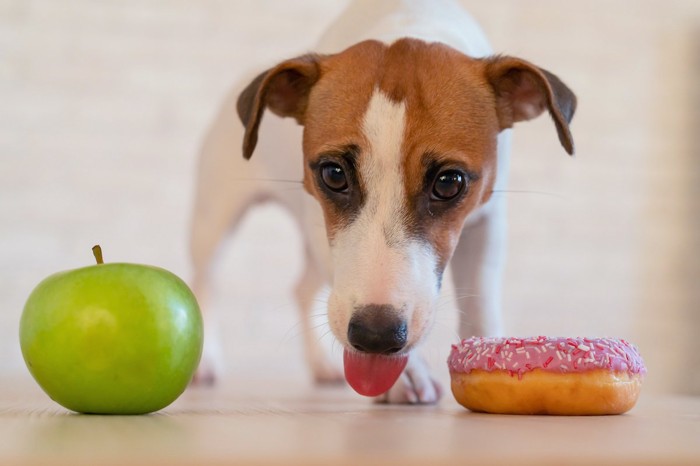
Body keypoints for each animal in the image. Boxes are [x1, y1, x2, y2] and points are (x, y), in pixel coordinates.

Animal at [187, 0, 576, 402]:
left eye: (449, 183)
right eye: (333, 174)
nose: (376, 336)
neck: (407, 19)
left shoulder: (486, 223)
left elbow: (480, 302)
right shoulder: (321, 225)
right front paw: (408, 376)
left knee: (301, 288)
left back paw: (321, 364)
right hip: (214, 221)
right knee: (205, 280)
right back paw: (205, 360)